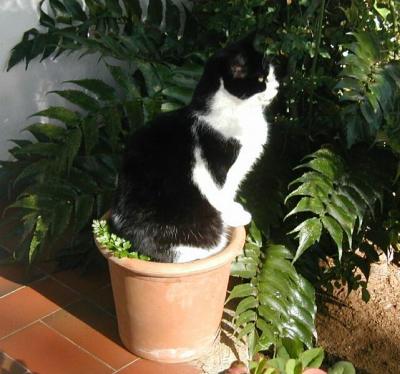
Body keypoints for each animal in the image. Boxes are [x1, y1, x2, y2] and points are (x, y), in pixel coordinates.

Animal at [109, 35, 278, 262]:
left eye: (270, 72)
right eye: (261, 79)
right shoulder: (221, 173)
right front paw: (235, 216)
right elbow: (225, 196)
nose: (277, 86)